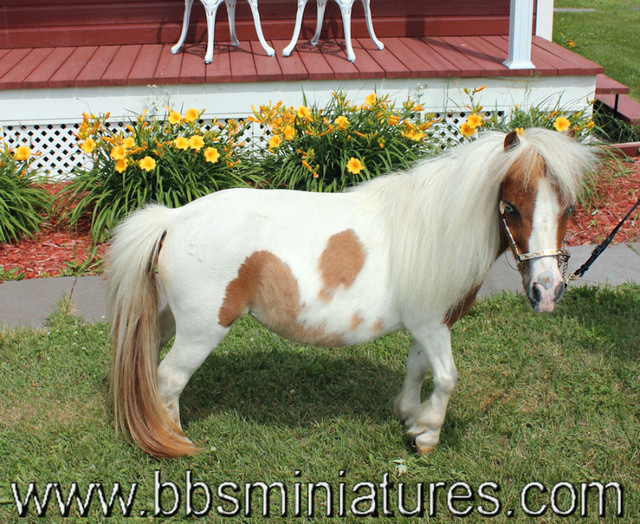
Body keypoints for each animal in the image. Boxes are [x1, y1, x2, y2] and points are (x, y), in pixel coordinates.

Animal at [106, 129, 596, 456]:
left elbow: (417, 369)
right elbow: (446, 377)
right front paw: (427, 436)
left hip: (173, 320)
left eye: (569, 208)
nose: (547, 292)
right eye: (510, 207)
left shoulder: (424, 325)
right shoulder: (433, 324)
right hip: (202, 330)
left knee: (151, 359)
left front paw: (409, 416)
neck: (433, 229)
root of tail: (173, 218)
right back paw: (175, 439)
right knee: (169, 379)